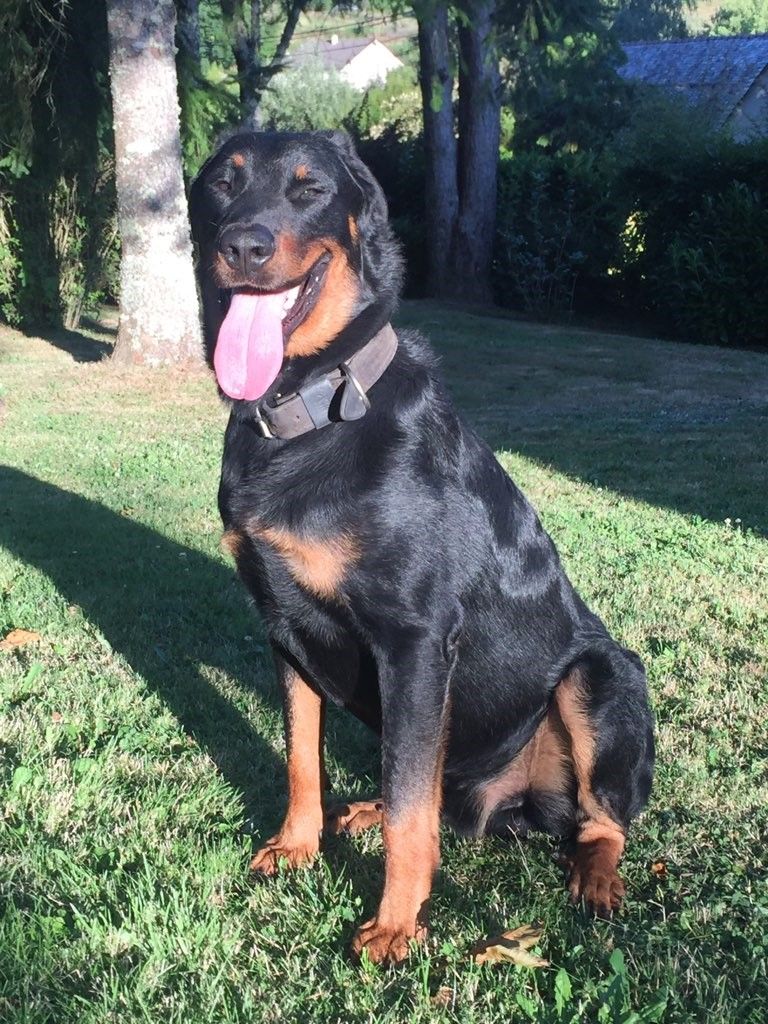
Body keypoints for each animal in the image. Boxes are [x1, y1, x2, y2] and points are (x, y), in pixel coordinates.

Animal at [188, 132, 655, 962]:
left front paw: (396, 925)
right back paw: (366, 811)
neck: (312, 411)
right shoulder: (283, 629)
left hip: (602, 677)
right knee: (429, 791)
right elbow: (303, 759)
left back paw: (596, 879)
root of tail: (504, 806)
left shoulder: (413, 640)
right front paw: (298, 846)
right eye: (222, 183)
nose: (242, 245)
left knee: (599, 820)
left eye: (310, 189)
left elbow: (411, 809)